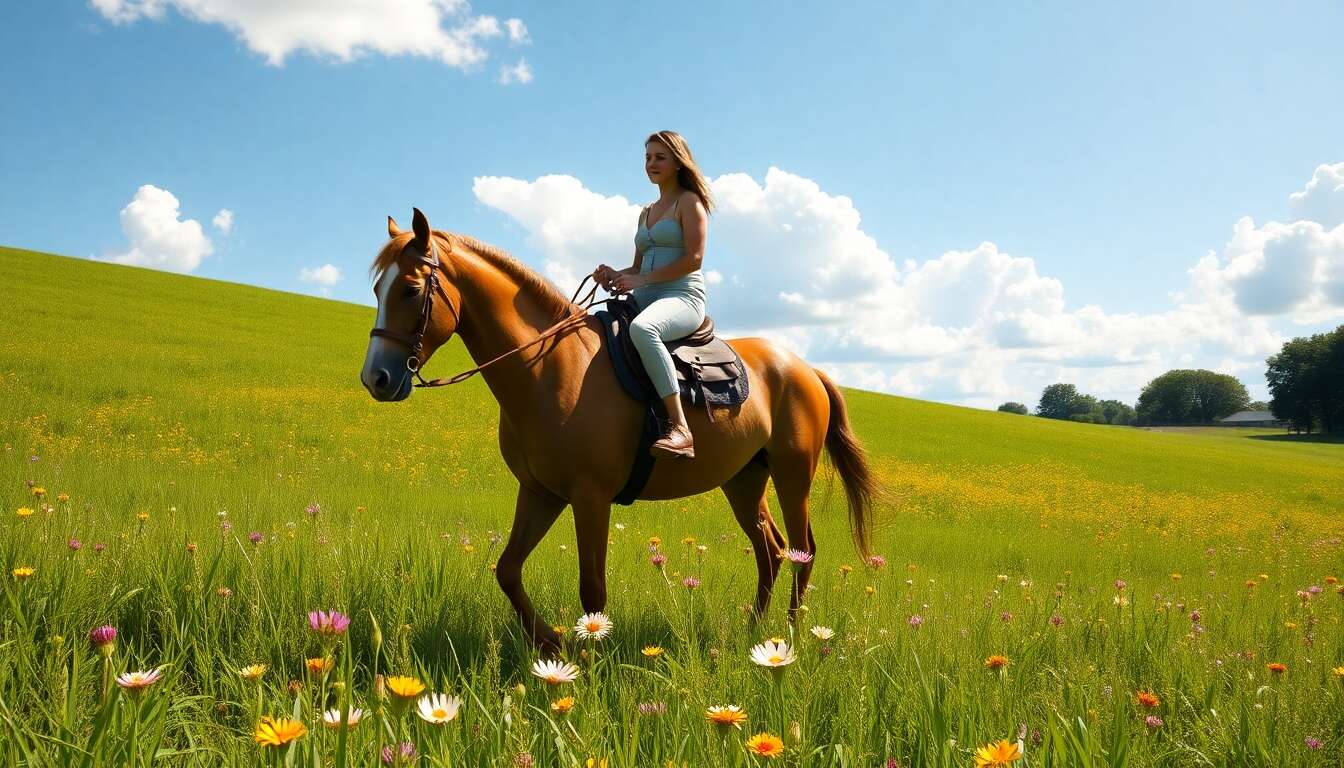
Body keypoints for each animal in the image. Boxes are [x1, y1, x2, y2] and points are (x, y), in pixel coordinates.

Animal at [360, 208, 881, 651]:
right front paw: (548, 642)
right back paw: (753, 632)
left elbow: (592, 590)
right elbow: (507, 570)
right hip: (744, 480)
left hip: (793, 477)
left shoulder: (590, 498)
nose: (376, 378)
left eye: (410, 290)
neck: (550, 368)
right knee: (770, 550)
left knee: (802, 551)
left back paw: (788, 638)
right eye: (378, 290)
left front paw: (587, 662)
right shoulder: (540, 491)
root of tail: (807, 369)